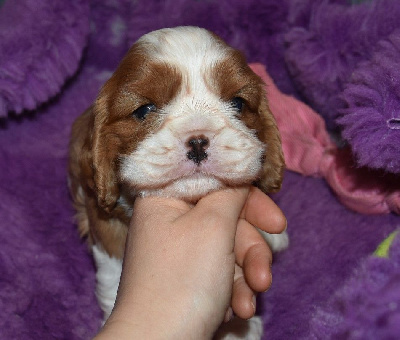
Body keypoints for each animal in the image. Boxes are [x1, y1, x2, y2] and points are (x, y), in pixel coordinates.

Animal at [69, 25, 288, 338]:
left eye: (238, 103)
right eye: (144, 110)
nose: (197, 141)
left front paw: (237, 329)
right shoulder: (104, 226)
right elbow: (113, 277)